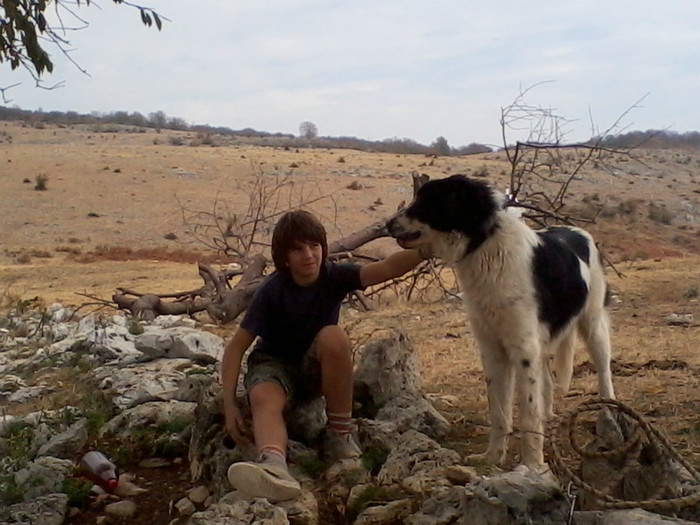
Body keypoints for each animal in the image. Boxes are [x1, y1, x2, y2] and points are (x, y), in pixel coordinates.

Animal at [386, 176, 616, 466]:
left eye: (427, 201)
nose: (387, 224)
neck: (484, 246)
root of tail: (577, 230)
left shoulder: (523, 349)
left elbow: (527, 411)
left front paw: (532, 463)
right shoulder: (493, 348)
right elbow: (498, 411)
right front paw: (493, 456)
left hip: (593, 324)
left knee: (604, 371)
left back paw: (609, 414)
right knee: (546, 380)